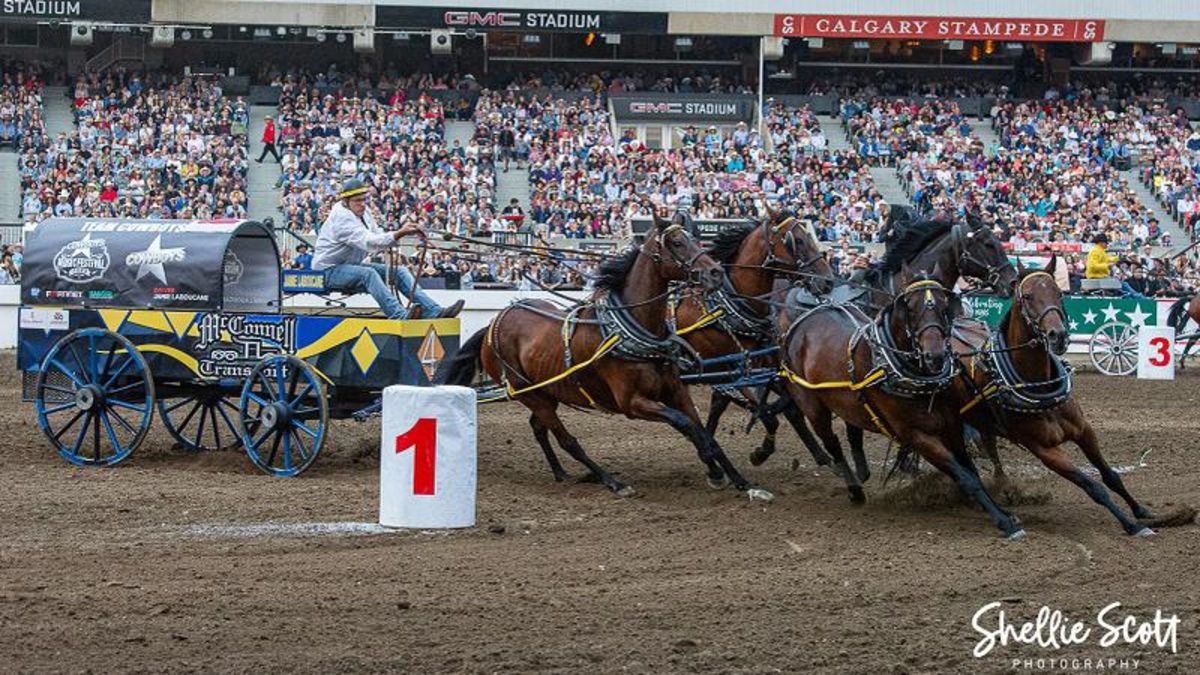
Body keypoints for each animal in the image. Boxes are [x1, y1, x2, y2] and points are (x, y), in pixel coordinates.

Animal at [436, 207, 772, 497]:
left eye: (696, 239)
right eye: (677, 243)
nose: (715, 273)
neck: (636, 330)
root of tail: (494, 324)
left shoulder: (677, 391)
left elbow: (704, 431)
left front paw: (738, 478)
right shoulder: (633, 403)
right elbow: (688, 426)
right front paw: (715, 472)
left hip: (546, 393)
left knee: (540, 429)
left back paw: (560, 472)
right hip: (528, 393)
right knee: (567, 440)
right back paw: (610, 480)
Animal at [676, 208, 835, 468]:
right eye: (797, 240)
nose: (828, 280)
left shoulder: (753, 368)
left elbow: (774, 409)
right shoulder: (730, 370)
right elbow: (766, 413)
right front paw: (758, 452)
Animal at [782, 266, 1027, 535]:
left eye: (944, 304)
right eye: (910, 306)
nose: (935, 355)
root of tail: (804, 320)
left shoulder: (951, 426)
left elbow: (970, 469)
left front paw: (1000, 509)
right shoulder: (917, 436)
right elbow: (966, 477)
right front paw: (1003, 521)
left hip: (849, 403)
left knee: (852, 431)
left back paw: (861, 473)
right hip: (812, 404)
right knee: (830, 441)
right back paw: (854, 489)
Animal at [950, 258, 1156, 535]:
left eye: (1058, 293)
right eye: (1027, 296)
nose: (1058, 336)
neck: (1040, 388)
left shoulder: (1083, 430)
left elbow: (1110, 475)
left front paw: (1140, 511)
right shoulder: (1044, 450)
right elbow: (1093, 487)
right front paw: (1131, 525)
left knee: (989, 445)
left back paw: (1003, 485)